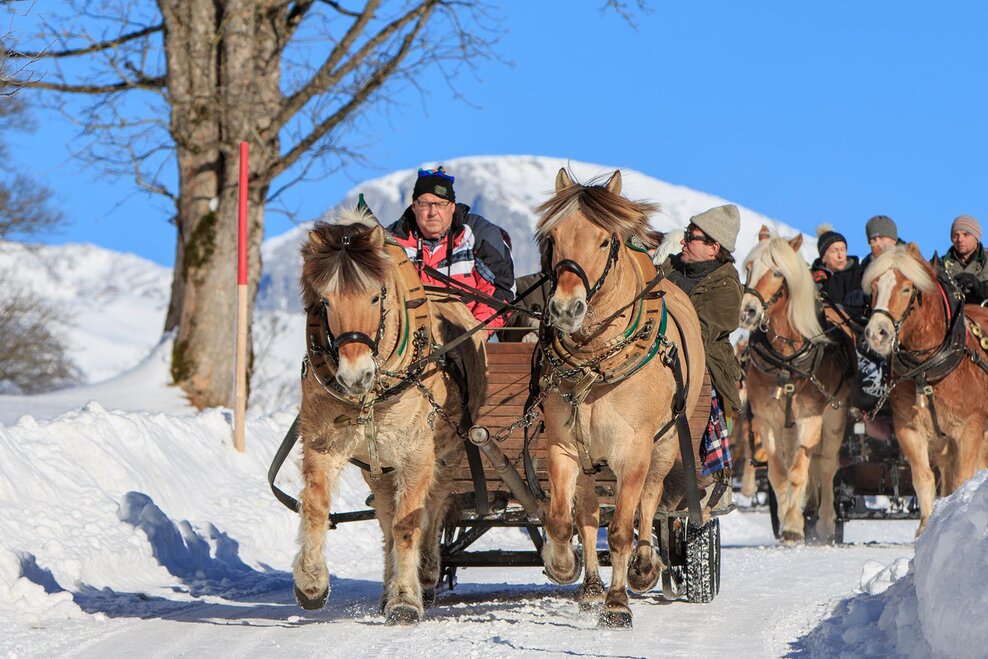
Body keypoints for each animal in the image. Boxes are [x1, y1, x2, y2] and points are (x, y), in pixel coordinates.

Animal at [291, 207, 486, 623]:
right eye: (324, 302)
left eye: (375, 295)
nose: (355, 375)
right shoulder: (322, 444)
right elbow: (315, 506)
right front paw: (311, 582)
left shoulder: (416, 453)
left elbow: (409, 523)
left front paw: (405, 600)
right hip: (376, 465)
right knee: (384, 518)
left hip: (447, 454)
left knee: (432, 507)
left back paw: (425, 574)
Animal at [535, 169, 705, 627]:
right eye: (552, 238)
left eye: (604, 241)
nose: (566, 309)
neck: (596, 363)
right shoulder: (563, 445)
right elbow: (564, 520)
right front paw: (563, 565)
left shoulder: (634, 449)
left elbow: (622, 528)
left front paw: (618, 603)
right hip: (590, 457)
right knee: (588, 513)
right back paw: (593, 586)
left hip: (666, 443)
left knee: (650, 503)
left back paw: (644, 566)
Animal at [739, 234, 852, 543]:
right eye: (749, 267)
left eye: (778, 272)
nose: (748, 311)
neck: (786, 360)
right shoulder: (766, 421)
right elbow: (779, 473)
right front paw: (788, 518)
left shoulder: (810, 418)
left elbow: (801, 471)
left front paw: (793, 524)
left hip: (834, 417)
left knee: (827, 466)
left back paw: (825, 524)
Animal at [862, 243, 988, 533]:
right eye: (874, 287)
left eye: (907, 289)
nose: (876, 333)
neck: (928, 371)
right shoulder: (910, 429)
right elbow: (923, 479)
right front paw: (925, 529)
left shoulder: (970, 428)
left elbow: (963, 478)